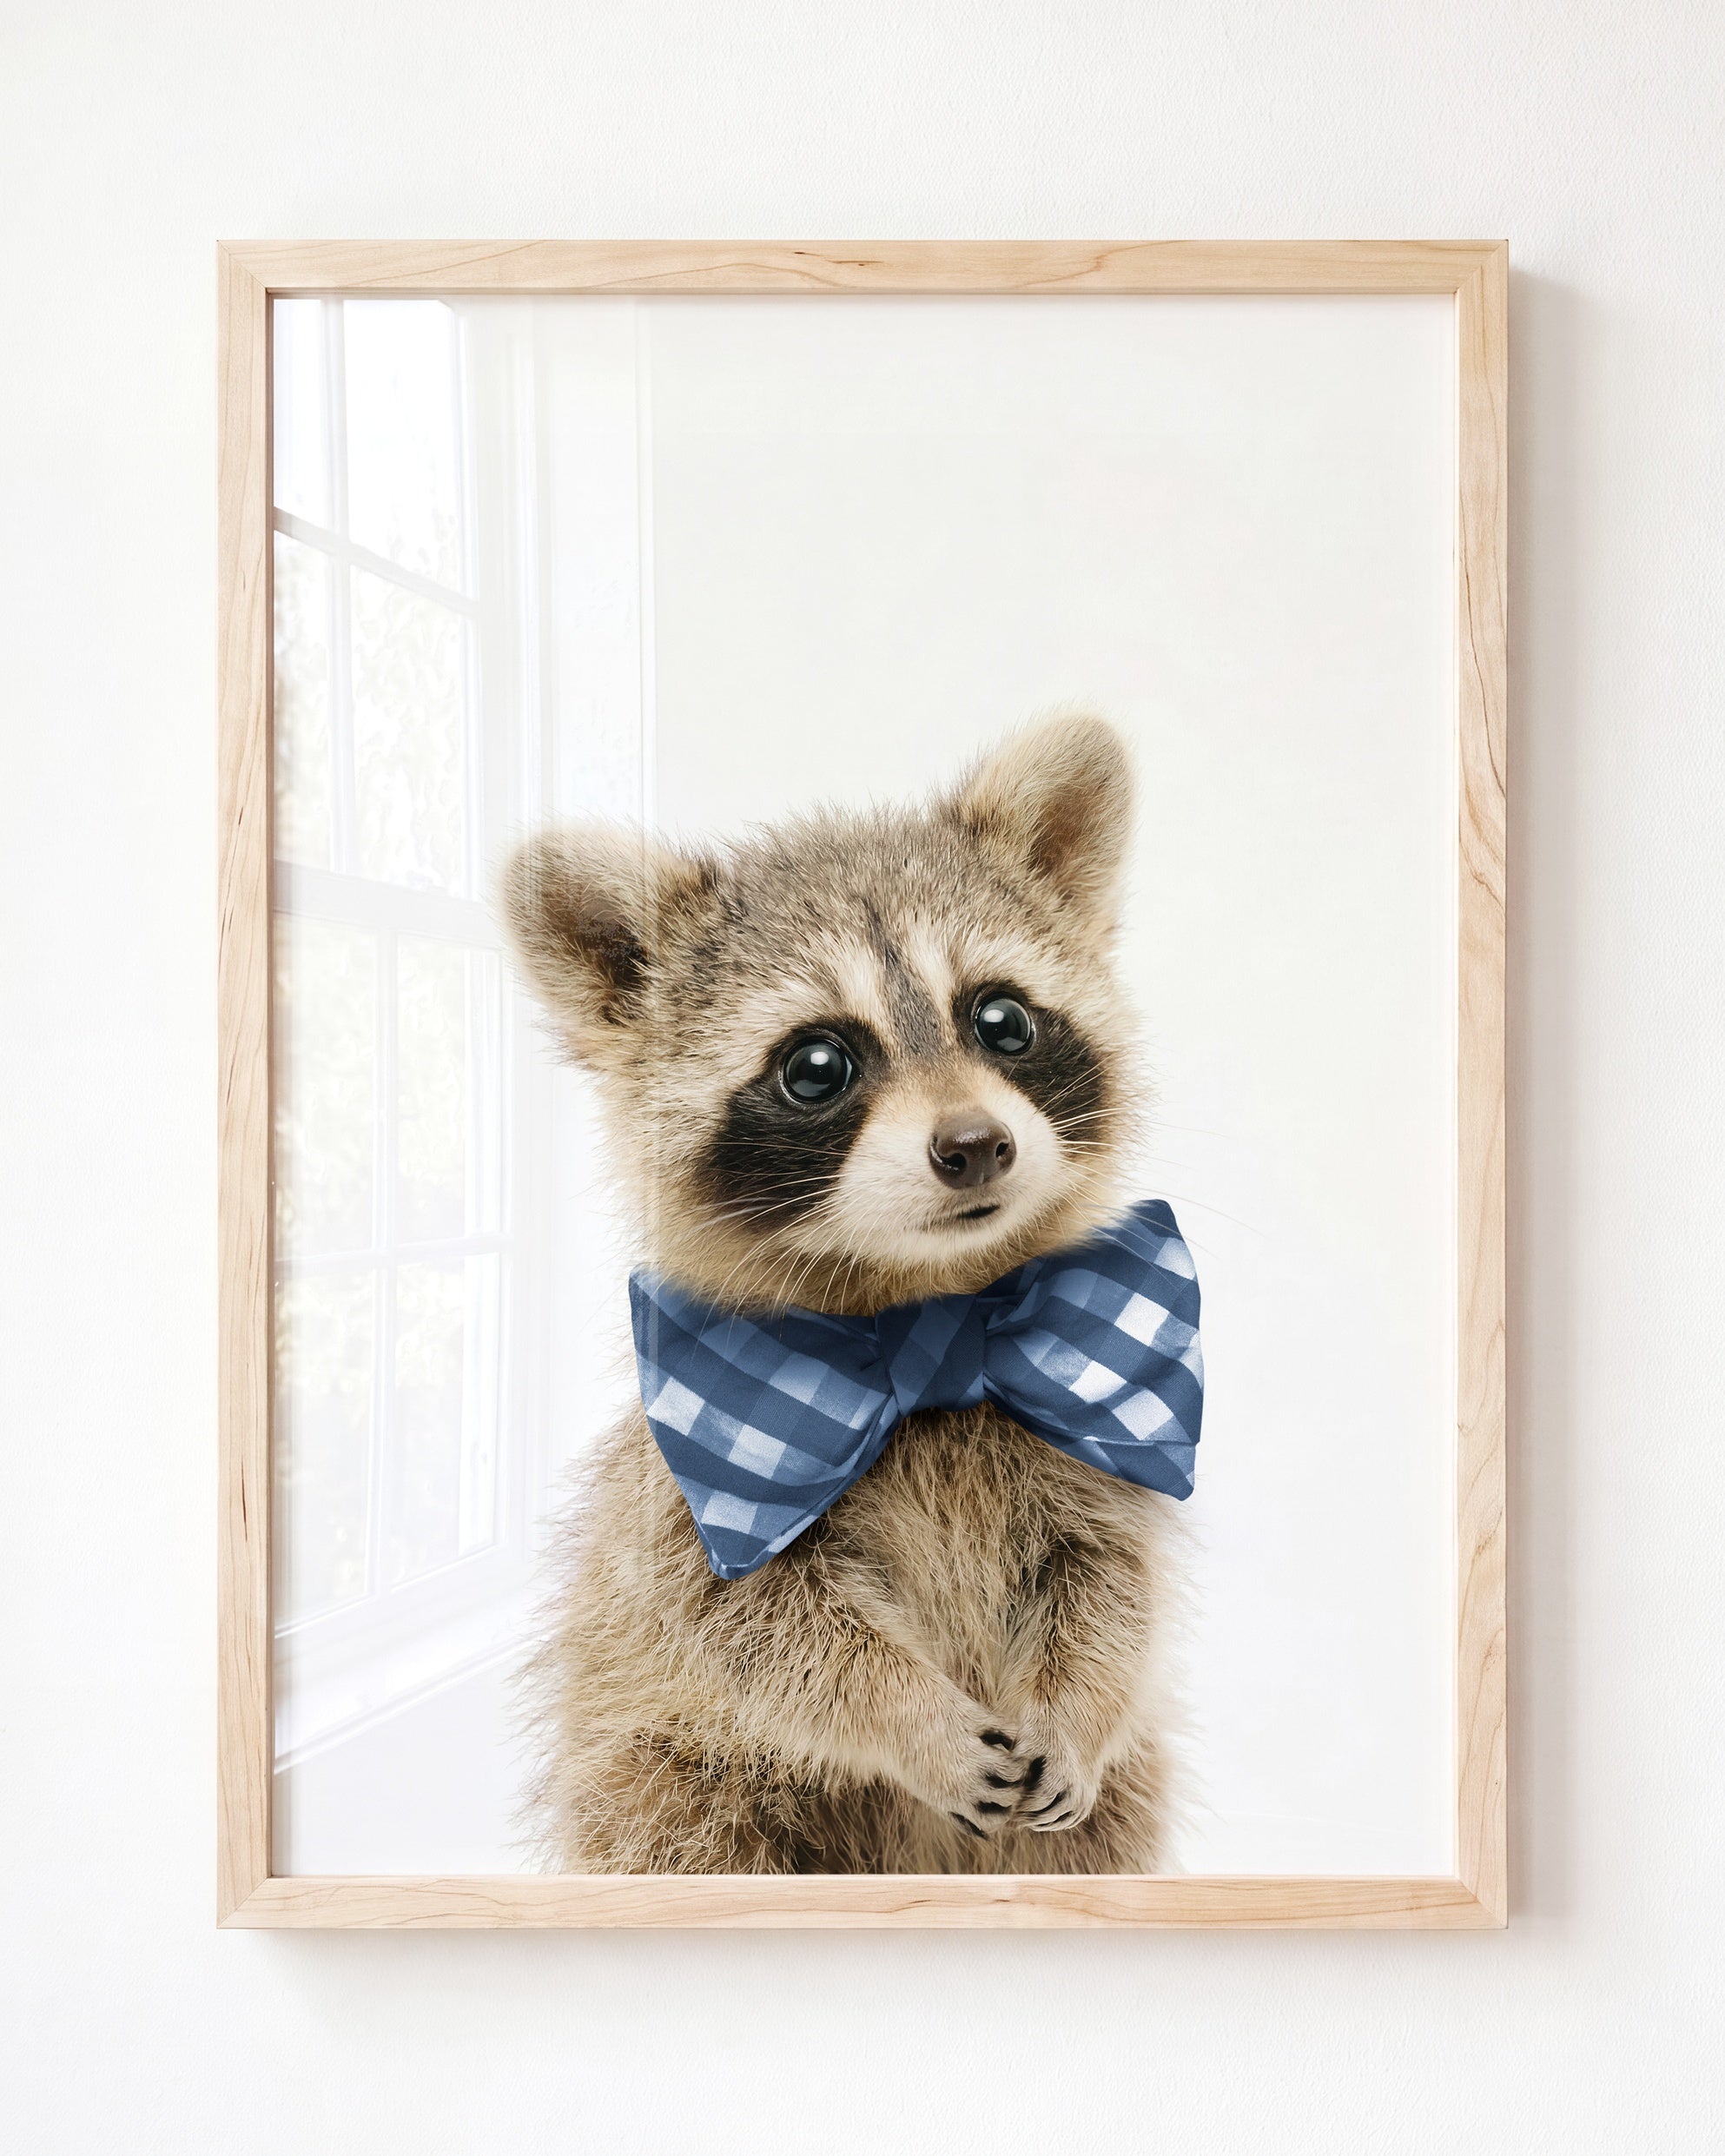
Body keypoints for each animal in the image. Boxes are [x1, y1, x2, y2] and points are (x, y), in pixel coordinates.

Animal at [502, 713, 1187, 1874]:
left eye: (1002, 1019)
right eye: (818, 1064)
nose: (976, 1145)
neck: (931, 1312)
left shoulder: (1088, 1439)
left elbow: (1111, 1581)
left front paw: (1079, 1703)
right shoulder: (692, 1495)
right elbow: (759, 1633)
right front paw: (911, 1717)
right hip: (663, 1779)